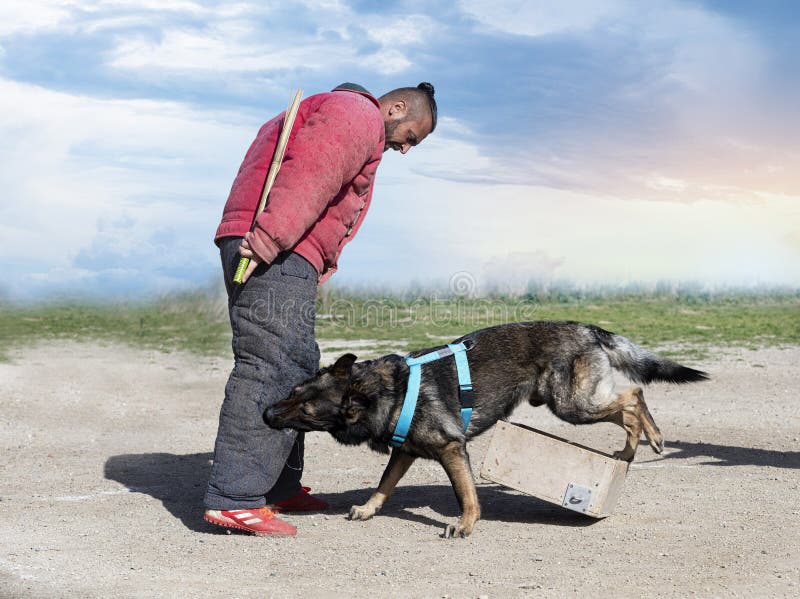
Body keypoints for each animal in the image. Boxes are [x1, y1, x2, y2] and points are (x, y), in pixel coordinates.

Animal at [264, 324, 708, 540]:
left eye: (306, 410)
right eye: (293, 392)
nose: (266, 413)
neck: (383, 390)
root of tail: (586, 327)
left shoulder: (451, 449)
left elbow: (466, 495)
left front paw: (464, 526)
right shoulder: (405, 452)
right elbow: (383, 485)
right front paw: (368, 509)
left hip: (572, 405)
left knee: (632, 395)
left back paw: (646, 440)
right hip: (569, 403)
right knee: (629, 400)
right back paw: (630, 450)